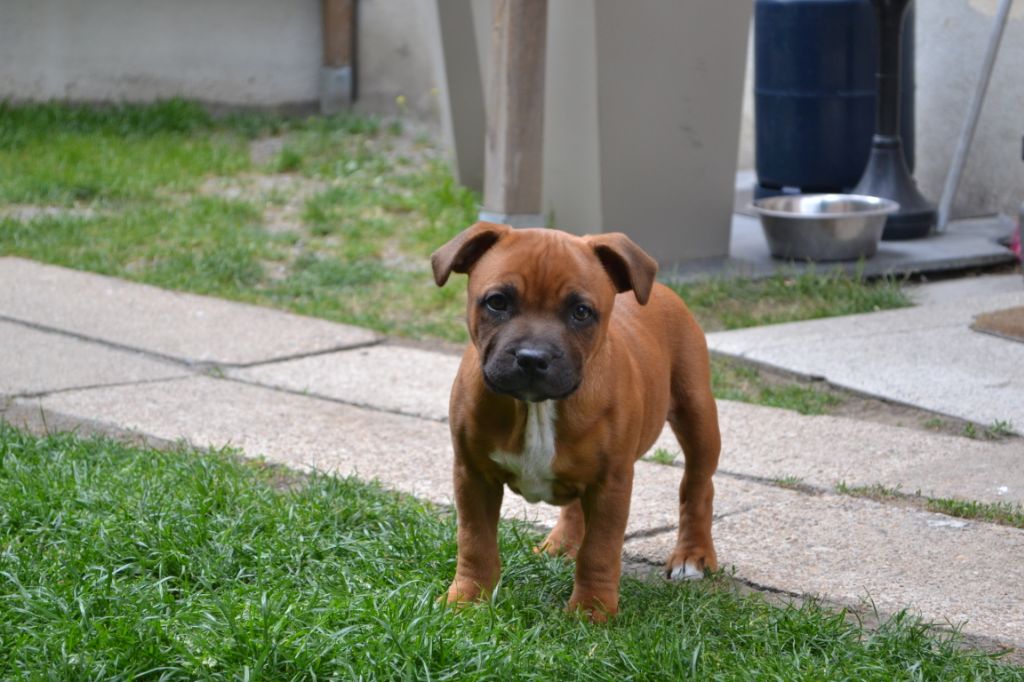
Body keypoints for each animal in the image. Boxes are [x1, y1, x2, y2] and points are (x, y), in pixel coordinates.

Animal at [432, 220, 720, 618]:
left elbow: (599, 550)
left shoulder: (612, 483)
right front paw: (468, 598)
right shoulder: (472, 474)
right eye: (497, 302)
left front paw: (592, 611)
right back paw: (561, 544)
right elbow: (475, 541)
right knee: (574, 506)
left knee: (697, 485)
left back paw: (693, 555)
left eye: (581, 312)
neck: (536, 407)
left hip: (698, 414)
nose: (532, 357)